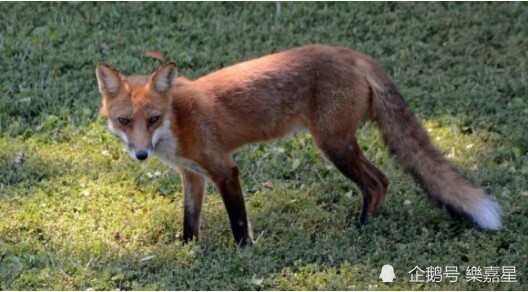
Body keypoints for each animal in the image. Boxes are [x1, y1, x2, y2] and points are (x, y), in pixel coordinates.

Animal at [96, 44, 504, 245]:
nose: (141, 154)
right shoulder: (193, 176)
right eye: (125, 121)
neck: (178, 122)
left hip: (333, 145)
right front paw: (186, 250)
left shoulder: (224, 170)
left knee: (376, 182)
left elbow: (238, 221)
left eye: (152, 119)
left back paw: (360, 229)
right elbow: (189, 221)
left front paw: (245, 252)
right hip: (338, 144)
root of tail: (355, 55)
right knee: (384, 180)